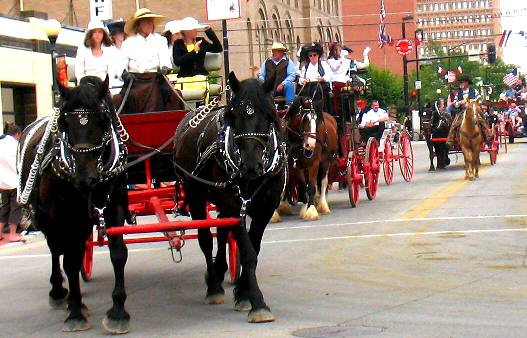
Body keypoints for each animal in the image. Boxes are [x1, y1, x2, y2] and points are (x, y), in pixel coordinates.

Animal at [18, 76, 131, 332]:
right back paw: (60, 292)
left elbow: (118, 253)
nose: (84, 178)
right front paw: (76, 313)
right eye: (65, 123)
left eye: (103, 120)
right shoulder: (64, 216)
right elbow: (69, 261)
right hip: (48, 218)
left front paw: (118, 311)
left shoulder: (115, 206)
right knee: (56, 250)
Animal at [173, 72, 286, 322]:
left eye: (270, 115)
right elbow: (247, 251)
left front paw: (243, 293)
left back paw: (220, 270)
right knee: (206, 239)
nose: (251, 164)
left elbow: (253, 247)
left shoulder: (265, 207)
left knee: (221, 231)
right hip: (196, 195)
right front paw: (257, 302)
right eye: (233, 116)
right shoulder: (234, 206)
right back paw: (213, 286)